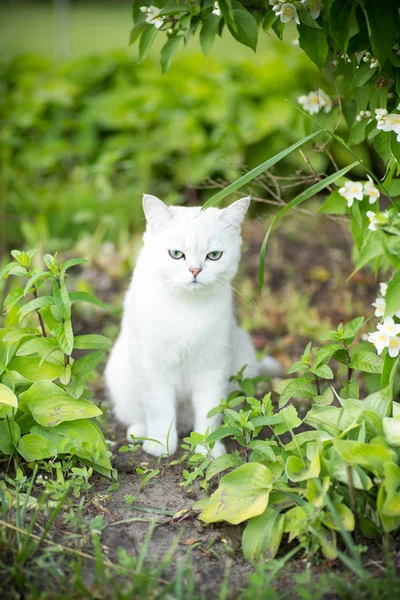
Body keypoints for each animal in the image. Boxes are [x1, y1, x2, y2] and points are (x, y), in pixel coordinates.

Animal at [106, 195, 282, 458]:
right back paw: (140, 432)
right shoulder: (152, 368)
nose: (195, 270)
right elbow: (159, 409)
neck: (187, 307)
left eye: (214, 255)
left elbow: (210, 412)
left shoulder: (213, 367)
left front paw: (208, 448)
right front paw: (160, 444)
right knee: (136, 415)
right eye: (176, 254)